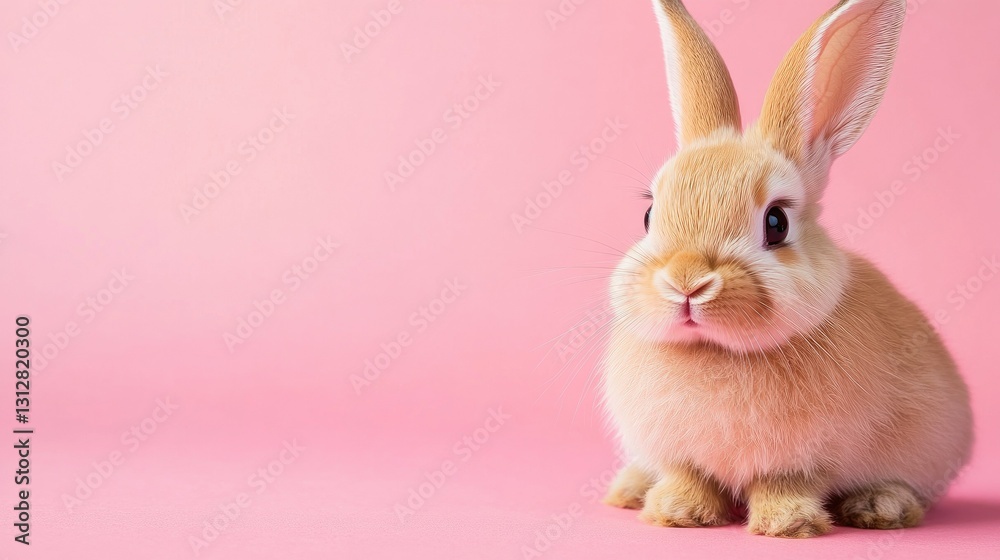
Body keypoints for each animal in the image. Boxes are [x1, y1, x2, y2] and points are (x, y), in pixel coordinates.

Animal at [600, 0, 973, 538]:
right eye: (649, 215)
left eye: (776, 223)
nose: (686, 282)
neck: (717, 353)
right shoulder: (679, 455)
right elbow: (689, 477)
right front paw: (676, 512)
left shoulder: (805, 459)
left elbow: (786, 484)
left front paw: (790, 524)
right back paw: (629, 490)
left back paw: (882, 507)